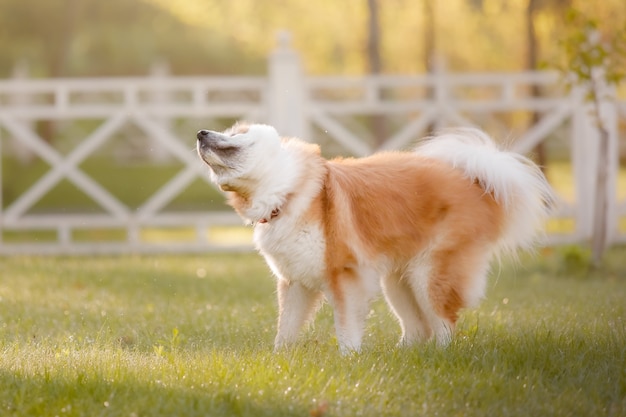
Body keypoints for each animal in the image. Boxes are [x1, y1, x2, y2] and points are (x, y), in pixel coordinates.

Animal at [196, 123, 552, 352]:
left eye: (236, 134)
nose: (201, 133)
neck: (287, 192)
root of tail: (477, 184)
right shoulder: (295, 282)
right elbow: (286, 329)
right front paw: (280, 359)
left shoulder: (345, 276)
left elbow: (345, 327)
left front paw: (349, 359)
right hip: (399, 282)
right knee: (418, 327)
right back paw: (403, 354)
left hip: (429, 276)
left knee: (444, 324)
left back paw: (442, 355)